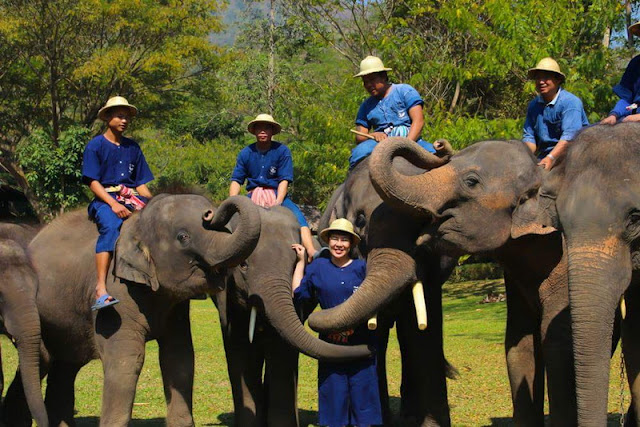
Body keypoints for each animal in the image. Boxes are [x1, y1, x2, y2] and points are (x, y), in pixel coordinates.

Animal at [5, 195, 260, 427]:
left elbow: (179, 357)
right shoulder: (116, 295)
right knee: (45, 361)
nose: (209, 213)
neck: (137, 224)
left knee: (66, 367)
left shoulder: (175, 307)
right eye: (183, 237)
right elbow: (127, 361)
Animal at [214, 206, 370, 426]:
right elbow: (240, 352)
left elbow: (282, 354)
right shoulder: (227, 301)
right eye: (243, 265)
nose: (369, 351)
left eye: (295, 264)